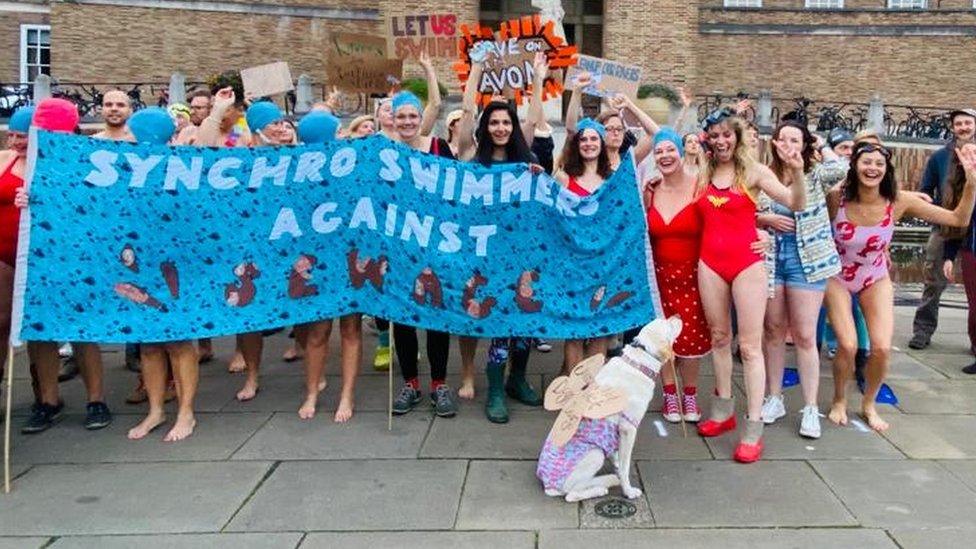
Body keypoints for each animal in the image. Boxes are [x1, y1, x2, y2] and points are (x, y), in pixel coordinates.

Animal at [536, 316, 684, 500]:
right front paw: (628, 491)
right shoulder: (628, 428)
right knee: (571, 493)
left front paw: (616, 465)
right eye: (669, 325)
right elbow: (625, 467)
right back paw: (601, 487)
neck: (638, 363)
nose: (678, 316)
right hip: (595, 454)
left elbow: (617, 457)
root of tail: (547, 485)